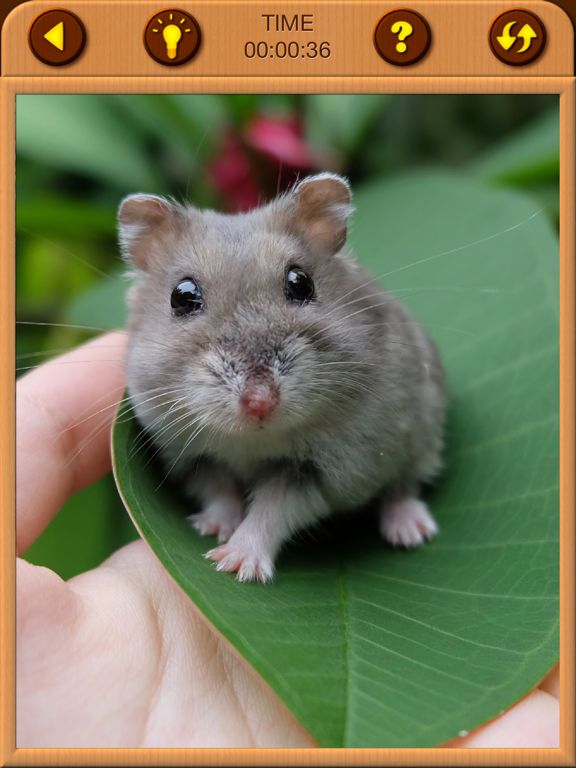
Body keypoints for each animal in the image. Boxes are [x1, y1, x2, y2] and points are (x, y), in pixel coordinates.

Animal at [118, 173, 447, 583]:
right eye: (182, 295)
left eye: (300, 282)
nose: (260, 403)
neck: (250, 441)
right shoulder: (189, 455)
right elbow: (219, 490)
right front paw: (213, 529)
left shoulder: (318, 471)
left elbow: (272, 511)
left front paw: (234, 564)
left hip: (422, 434)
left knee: (404, 485)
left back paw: (412, 532)